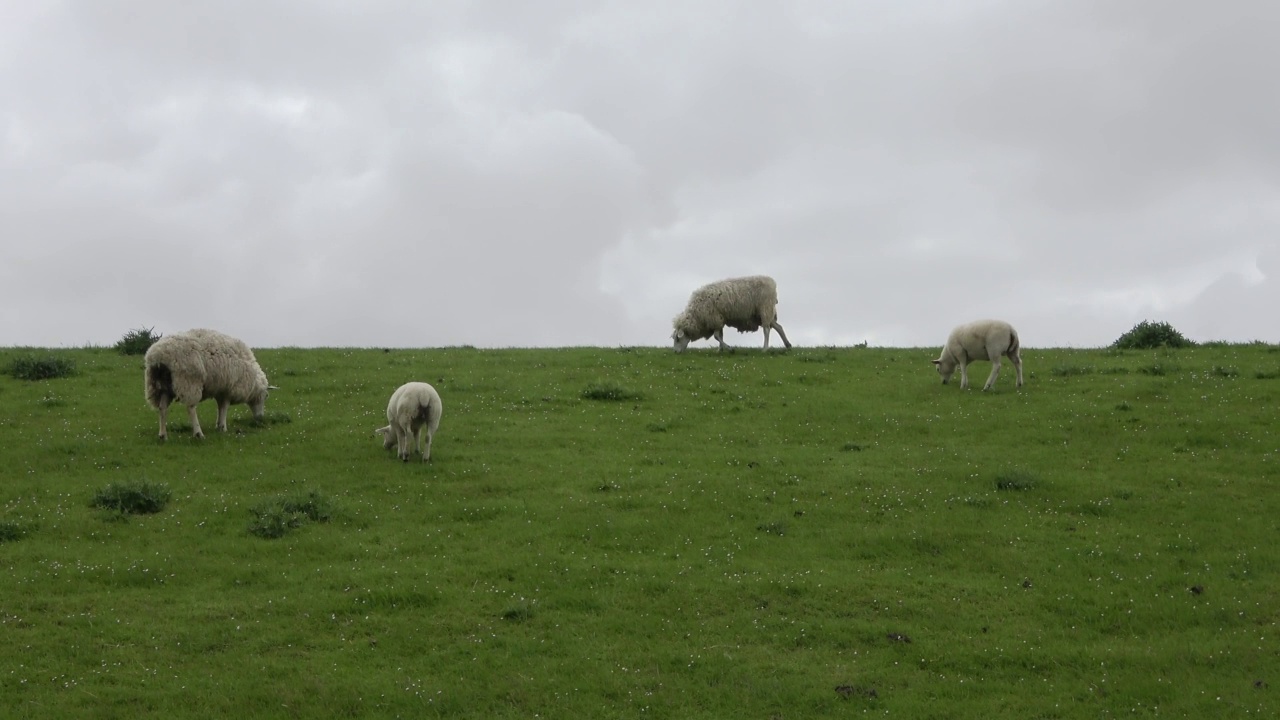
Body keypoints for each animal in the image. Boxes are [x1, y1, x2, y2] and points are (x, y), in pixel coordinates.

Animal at [144, 326, 273, 438]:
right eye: (266, 396)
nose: (260, 418)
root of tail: (159, 355)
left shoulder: (220, 389)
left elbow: (220, 407)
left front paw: (218, 425)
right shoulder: (228, 389)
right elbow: (224, 407)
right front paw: (223, 427)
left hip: (163, 385)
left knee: (162, 408)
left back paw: (163, 435)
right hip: (189, 381)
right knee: (190, 407)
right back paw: (198, 434)